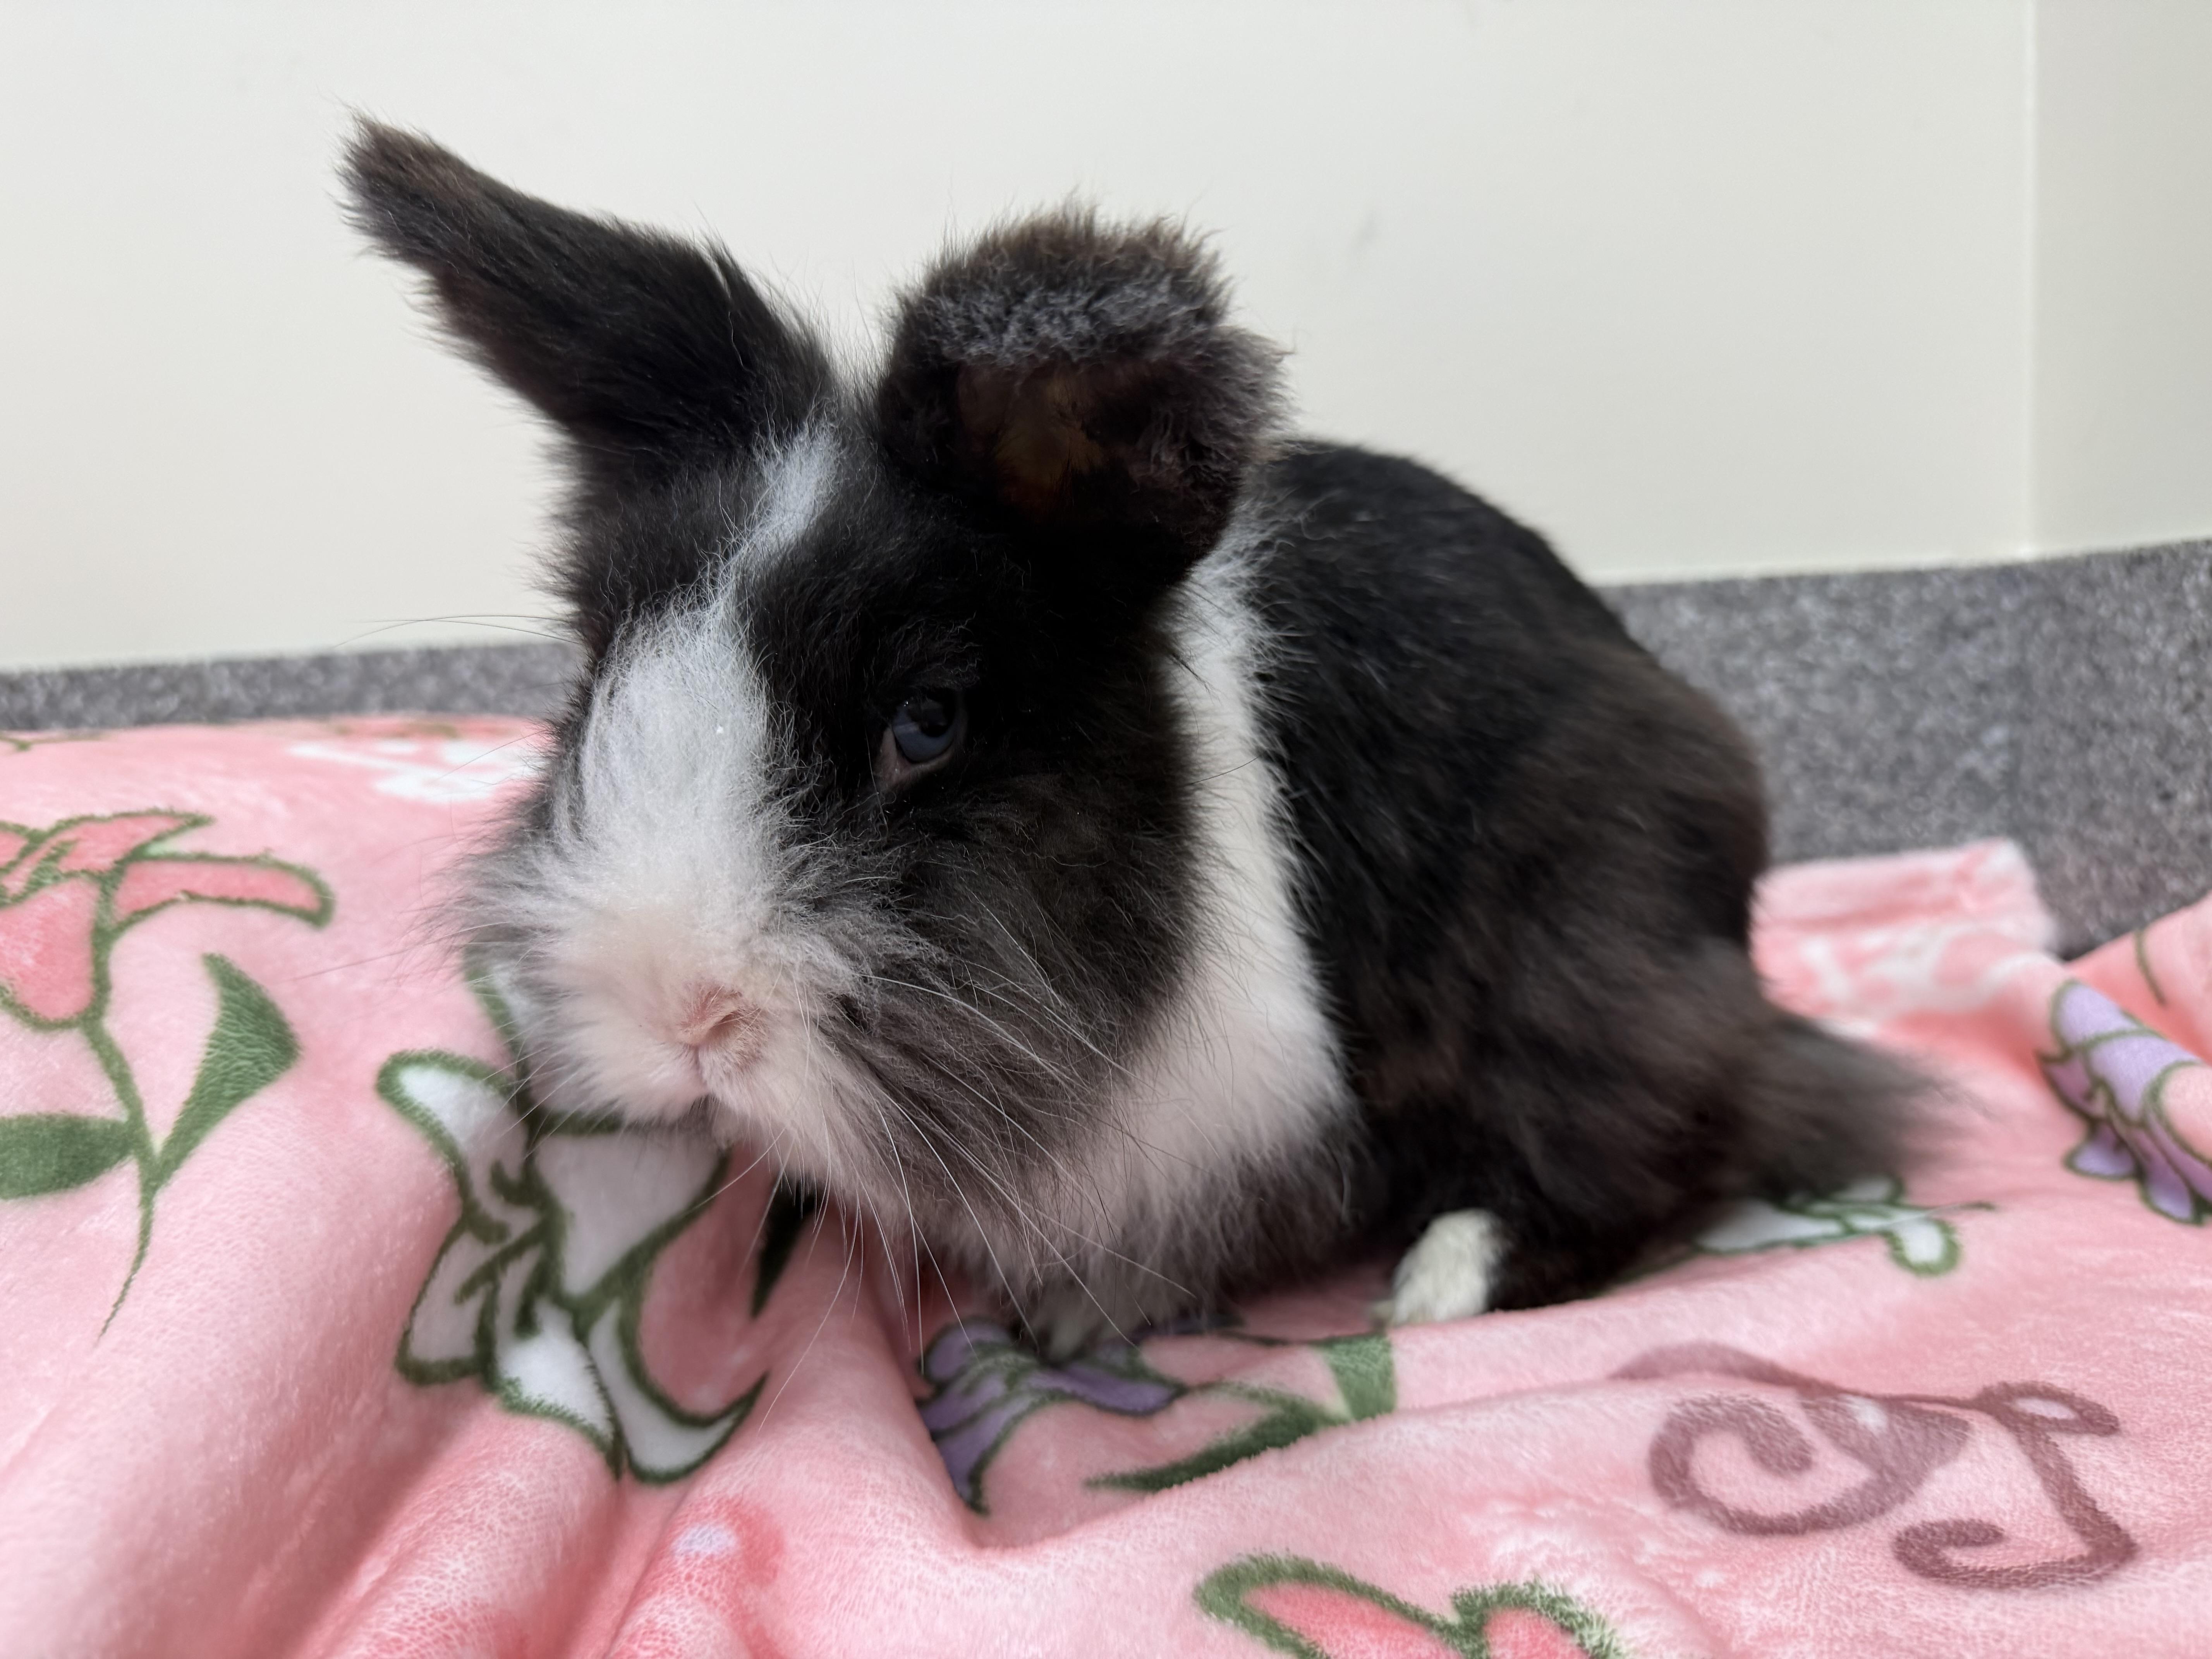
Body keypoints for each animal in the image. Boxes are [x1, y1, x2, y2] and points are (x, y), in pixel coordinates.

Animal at [344, 121, 1918, 1357]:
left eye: (928, 723)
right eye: (597, 671)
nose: (681, 1016)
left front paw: (1077, 1319)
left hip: (1589, 962)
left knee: (1659, 1132)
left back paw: (1437, 1291)